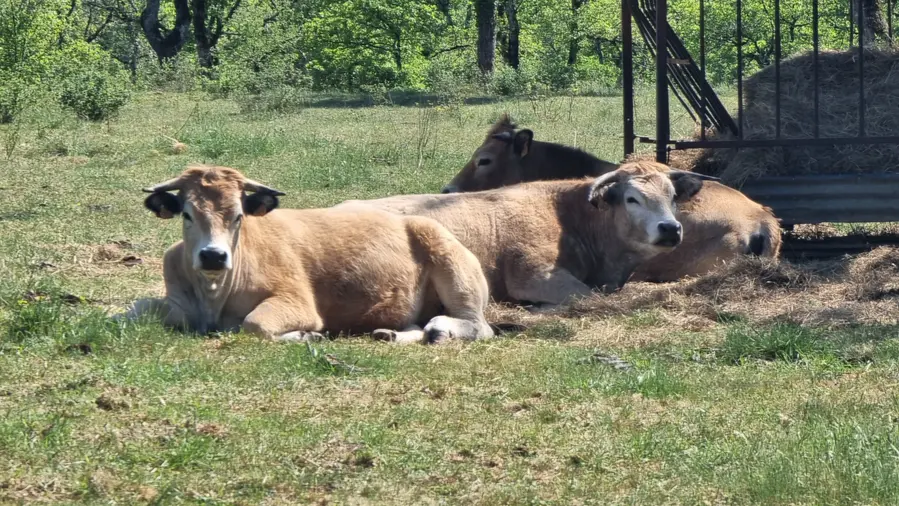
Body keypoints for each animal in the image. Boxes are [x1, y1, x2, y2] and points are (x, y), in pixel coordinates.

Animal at [114, 164, 494, 344]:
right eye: (187, 214)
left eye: (238, 215)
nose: (212, 256)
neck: (213, 296)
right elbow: (133, 311)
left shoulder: (295, 302)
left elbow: (254, 324)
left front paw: (305, 335)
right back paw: (390, 334)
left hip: (456, 274)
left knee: (477, 326)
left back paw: (439, 329)